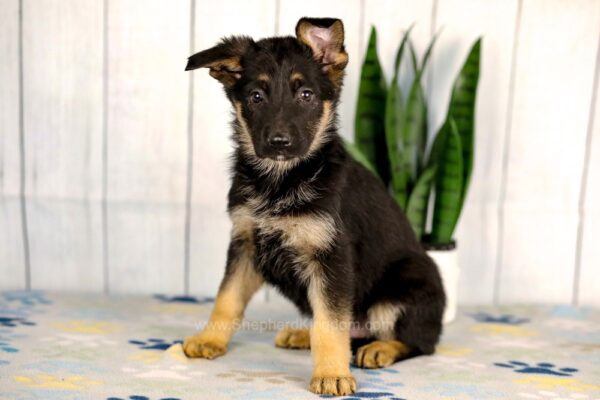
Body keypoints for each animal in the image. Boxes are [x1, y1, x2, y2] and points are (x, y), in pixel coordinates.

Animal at [183, 17, 446, 396]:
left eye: (305, 95)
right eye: (256, 96)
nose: (279, 142)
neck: (282, 181)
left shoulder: (331, 257)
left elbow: (331, 323)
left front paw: (332, 374)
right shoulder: (247, 244)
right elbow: (227, 299)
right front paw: (210, 340)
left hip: (402, 290)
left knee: (419, 343)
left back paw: (379, 349)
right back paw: (303, 336)